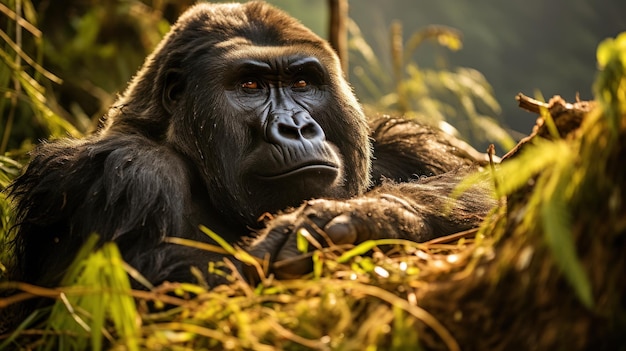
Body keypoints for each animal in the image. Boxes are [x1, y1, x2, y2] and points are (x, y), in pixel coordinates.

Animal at [4, 2, 492, 288]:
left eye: (301, 83)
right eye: (251, 86)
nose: (296, 128)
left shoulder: (401, 141)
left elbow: (494, 181)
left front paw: (374, 214)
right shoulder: (125, 167)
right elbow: (165, 291)